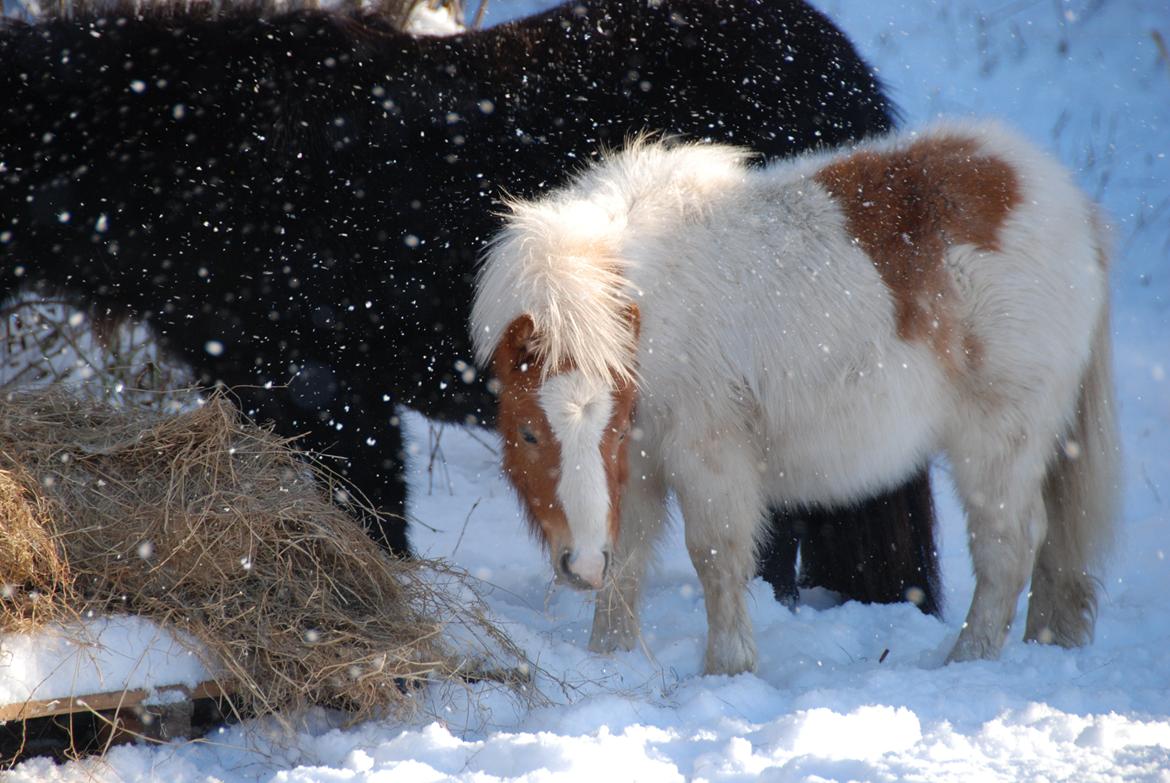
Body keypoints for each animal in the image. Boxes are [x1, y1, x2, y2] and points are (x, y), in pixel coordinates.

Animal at [475, 122, 1123, 674]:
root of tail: (1065, 200)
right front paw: (607, 662)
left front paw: (727, 669)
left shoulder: (706, 453)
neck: (649, 303)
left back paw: (967, 659)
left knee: (1008, 546)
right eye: (528, 432)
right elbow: (626, 564)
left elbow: (715, 556)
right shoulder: (636, 465)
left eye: (604, 426)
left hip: (998, 443)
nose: (578, 565)